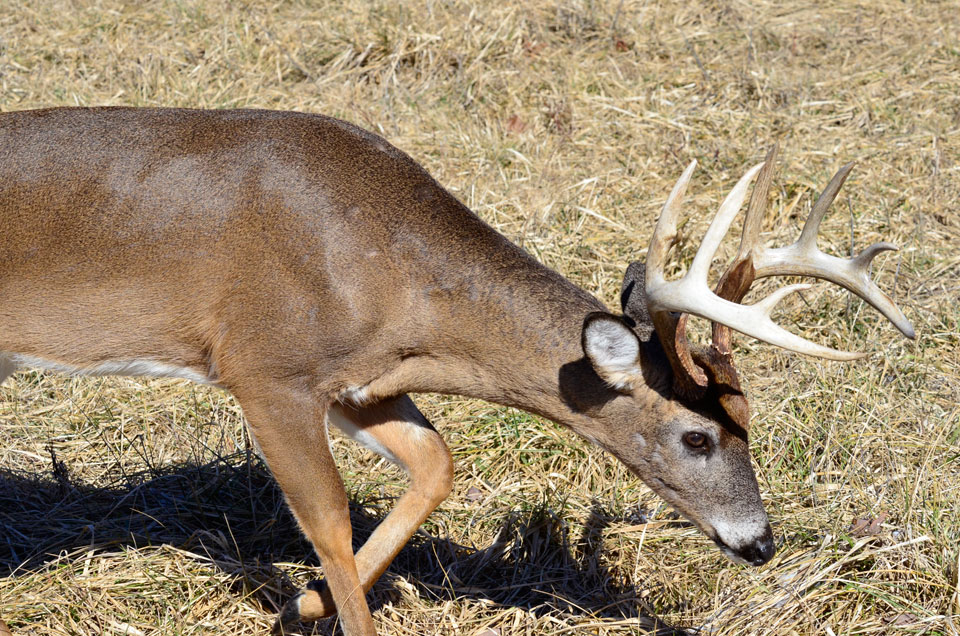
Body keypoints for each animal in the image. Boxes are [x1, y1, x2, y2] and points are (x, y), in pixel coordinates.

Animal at [0, 107, 916, 632]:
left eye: (750, 421)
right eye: (697, 437)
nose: (759, 543)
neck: (389, 272)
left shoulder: (361, 382)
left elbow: (436, 462)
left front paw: (301, 603)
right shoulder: (266, 366)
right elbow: (329, 518)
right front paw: (325, 608)